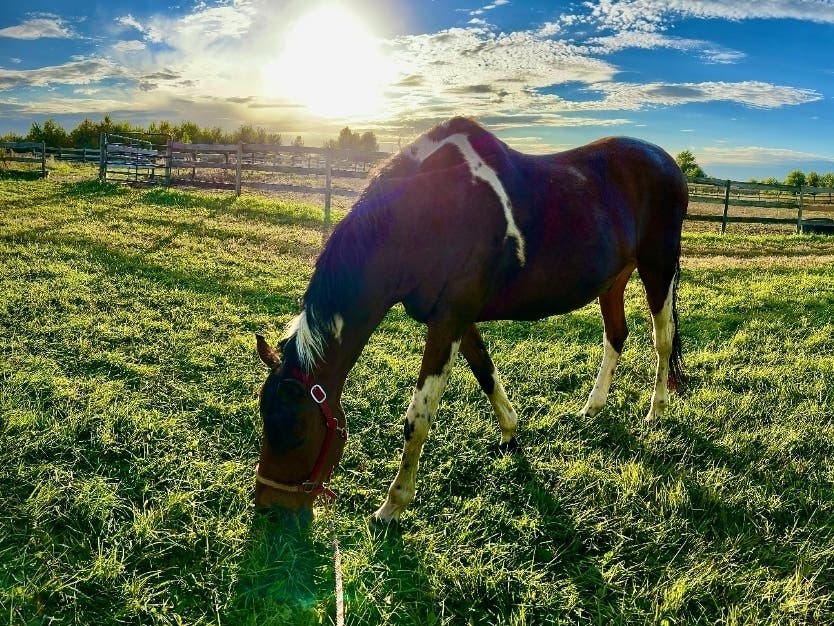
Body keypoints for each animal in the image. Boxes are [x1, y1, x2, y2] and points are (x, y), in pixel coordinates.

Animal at [254, 117, 688, 522]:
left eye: (295, 433)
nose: (268, 509)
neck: (425, 216)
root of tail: (666, 161)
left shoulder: (449, 321)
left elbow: (419, 416)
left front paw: (393, 505)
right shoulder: (458, 320)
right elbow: (485, 372)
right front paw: (511, 432)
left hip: (658, 267)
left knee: (662, 339)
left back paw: (656, 411)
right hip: (614, 279)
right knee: (616, 335)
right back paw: (593, 406)